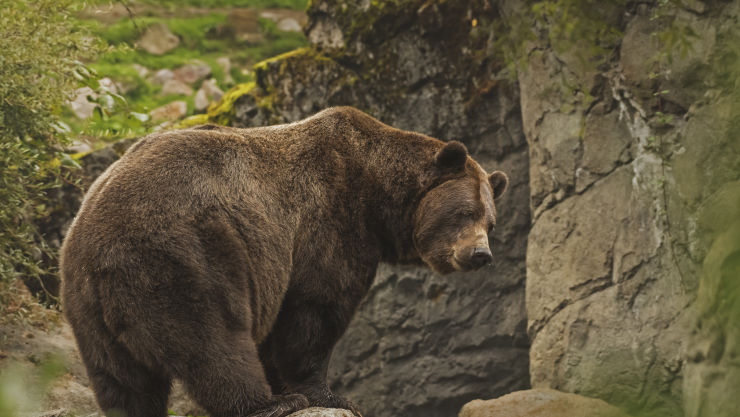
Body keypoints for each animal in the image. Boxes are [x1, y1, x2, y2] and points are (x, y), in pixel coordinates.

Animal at [60, 106, 509, 417]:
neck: (377, 196)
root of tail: (99, 248)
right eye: (464, 213)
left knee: (121, 379)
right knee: (212, 339)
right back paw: (269, 403)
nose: (480, 255)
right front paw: (330, 394)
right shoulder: (327, 221)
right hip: (185, 253)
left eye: (490, 220)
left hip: (86, 304)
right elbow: (315, 311)